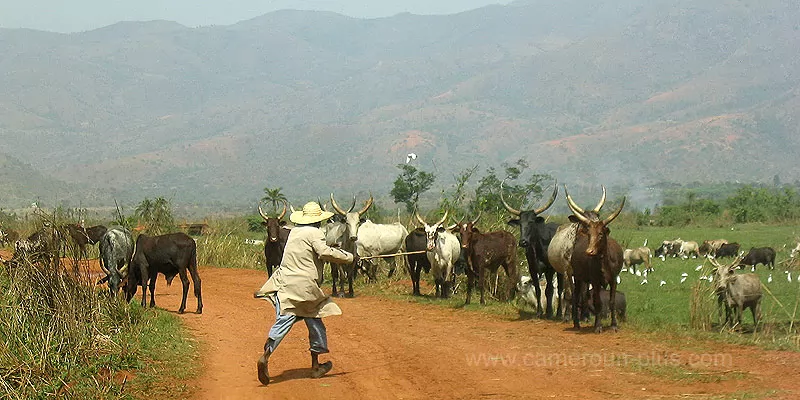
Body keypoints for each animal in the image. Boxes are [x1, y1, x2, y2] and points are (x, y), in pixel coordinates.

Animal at [504, 180, 560, 318]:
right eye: (520, 223)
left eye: (531, 222)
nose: (523, 242)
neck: (538, 249)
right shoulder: (532, 269)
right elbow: (538, 290)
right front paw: (539, 312)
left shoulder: (549, 270)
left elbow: (549, 290)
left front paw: (549, 312)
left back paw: (559, 313)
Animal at [564, 189, 628, 332]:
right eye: (589, 234)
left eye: (600, 234)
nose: (589, 251)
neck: (604, 261)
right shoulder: (595, 280)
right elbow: (597, 302)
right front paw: (598, 326)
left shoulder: (614, 279)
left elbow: (612, 302)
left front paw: (613, 325)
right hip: (578, 278)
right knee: (577, 298)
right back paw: (577, 324)